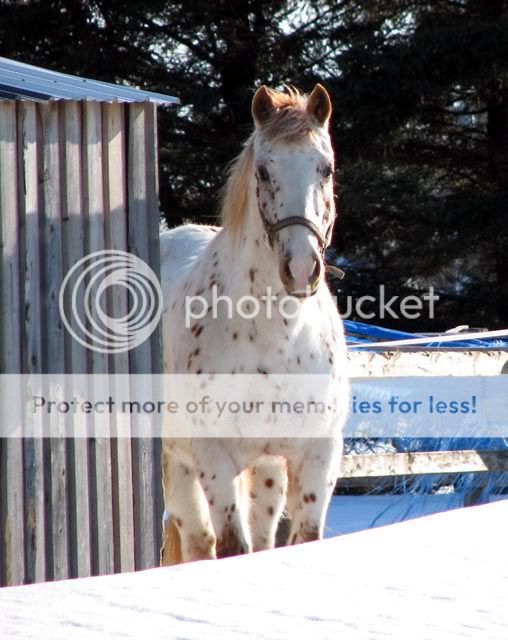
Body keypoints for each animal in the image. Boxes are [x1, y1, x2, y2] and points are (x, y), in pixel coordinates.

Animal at [160, 82, 350, 564]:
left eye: (326, 169)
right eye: (263, 171)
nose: (301, 269)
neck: (277, 336)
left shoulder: (318, 455)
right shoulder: (214, 458)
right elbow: (231, 546)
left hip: (267, 471)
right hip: (177, 461)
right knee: (199, 543)